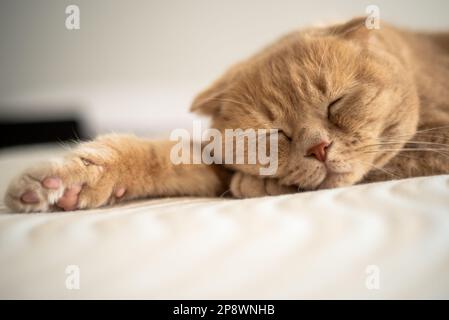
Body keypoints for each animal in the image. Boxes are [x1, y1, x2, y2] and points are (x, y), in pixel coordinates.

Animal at [4, 17, 448, 212]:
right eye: (275, 134)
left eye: (335, 103)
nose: (319, 148)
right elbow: (156, 157)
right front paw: (65, 182)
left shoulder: (436, 140)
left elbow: (394, 161)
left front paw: (258, 185)